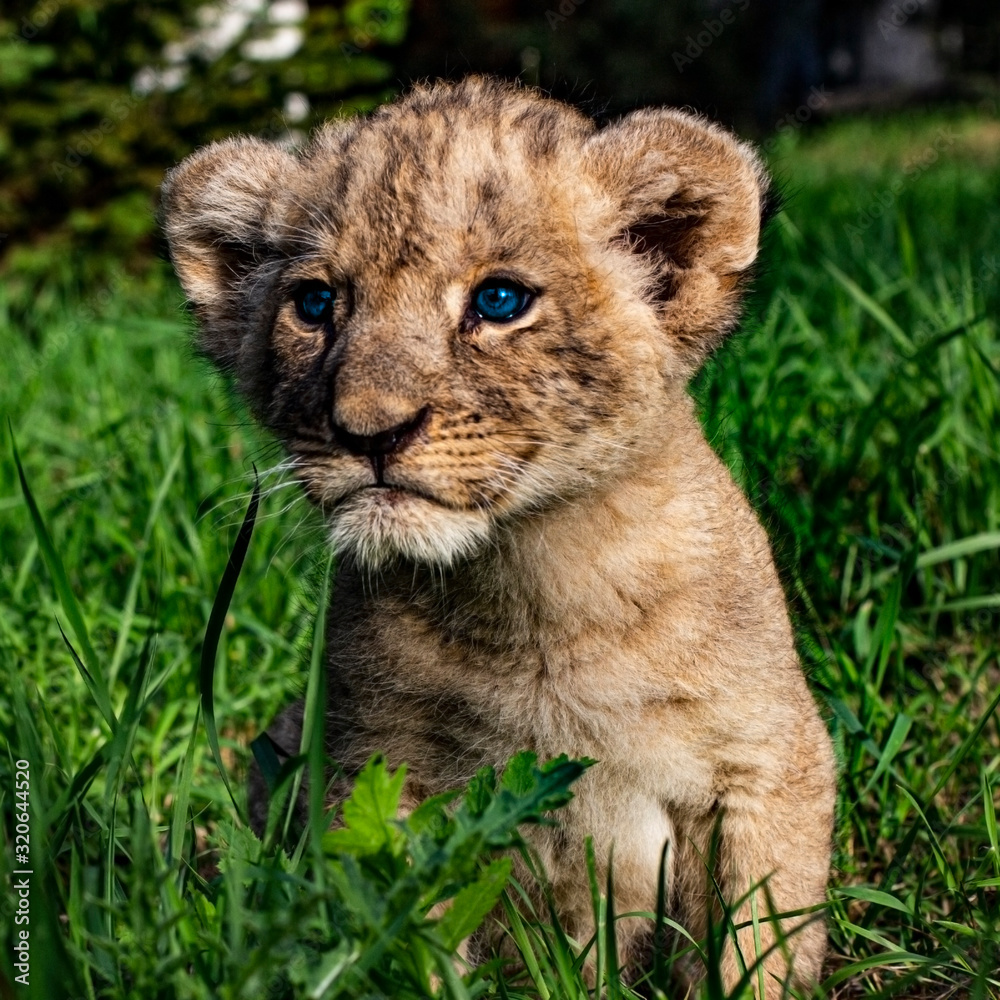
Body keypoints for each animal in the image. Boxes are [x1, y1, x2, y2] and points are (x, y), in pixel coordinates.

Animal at [161, 77, 836, 994]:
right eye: (315, 304)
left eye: (499, 301)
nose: (367, 432)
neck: (527, 584)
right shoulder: (373, 775)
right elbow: (412, 953)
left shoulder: (766, 764)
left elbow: (756, 944)